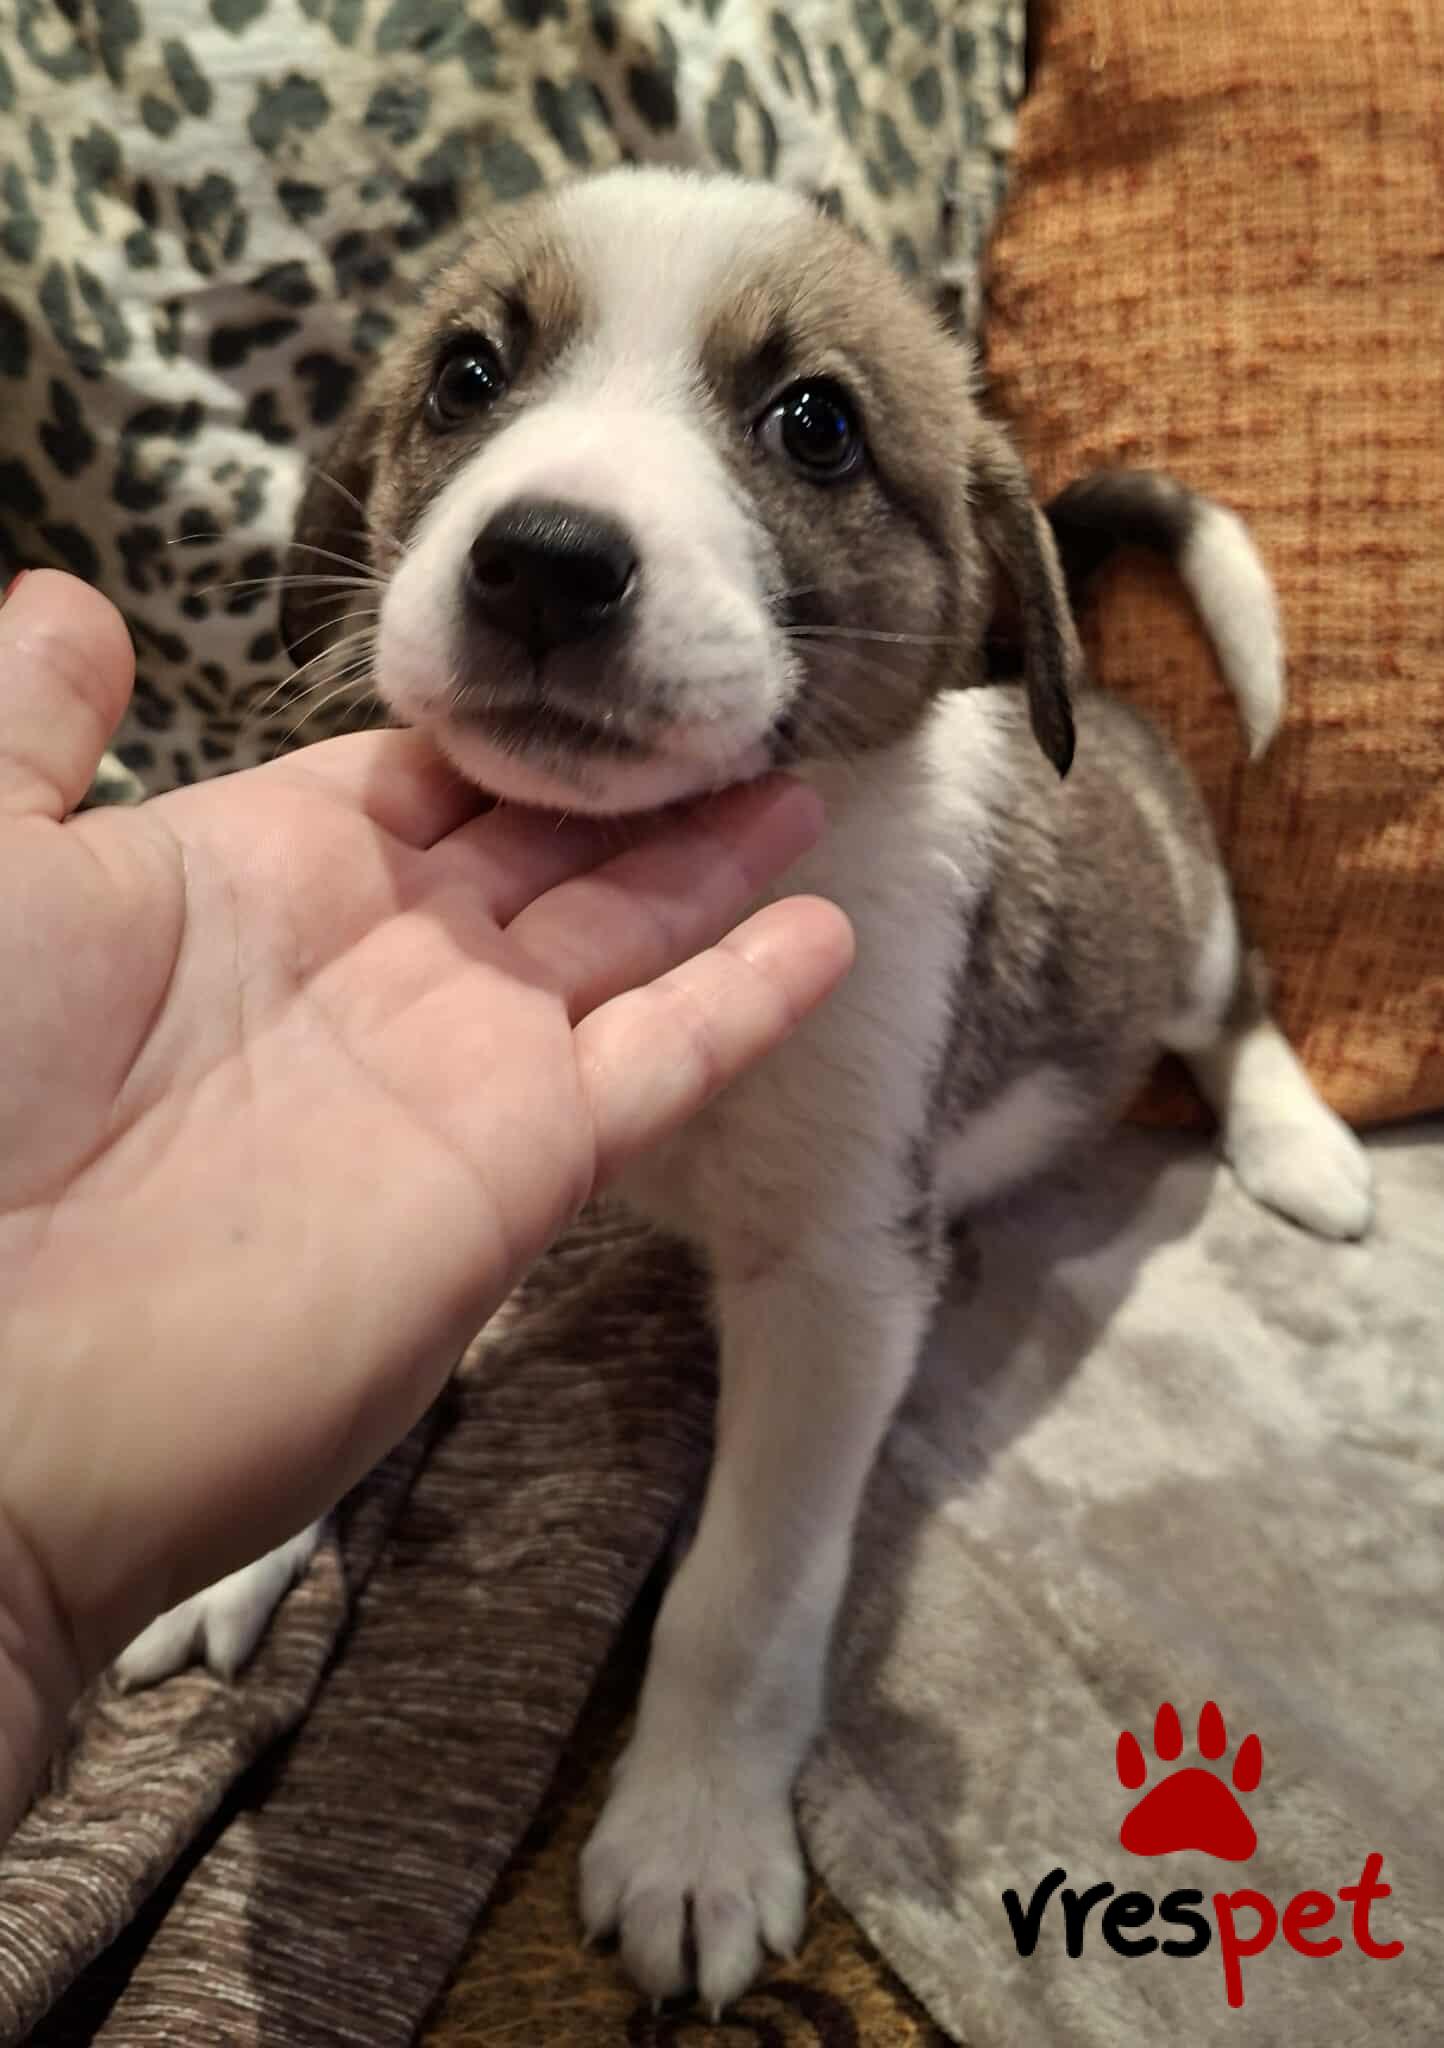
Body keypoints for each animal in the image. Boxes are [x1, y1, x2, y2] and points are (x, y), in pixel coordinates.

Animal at [118, 167, 1373, 2011]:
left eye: (815, 425)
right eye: (468, 376)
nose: (545, 561)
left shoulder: (837, 1283)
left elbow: (745, 1588)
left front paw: (698, 1829)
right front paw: (236, 1541)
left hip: (1194, 930)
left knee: (1240, 1006)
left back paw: (1300, 1144)